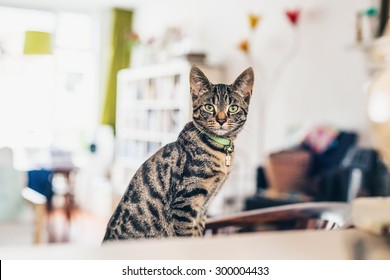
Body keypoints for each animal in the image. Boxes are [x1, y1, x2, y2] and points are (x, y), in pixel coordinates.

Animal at [103, 65, 254, 241]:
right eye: (209, 107)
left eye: (233, 108)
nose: (221, 120)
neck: (218, 148)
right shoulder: (185, 203)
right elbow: (186, 237)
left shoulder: (203, 209)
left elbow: (198, 233)